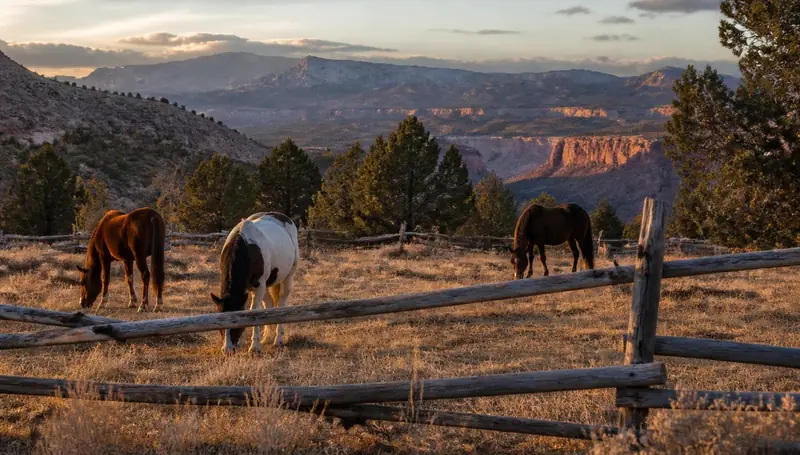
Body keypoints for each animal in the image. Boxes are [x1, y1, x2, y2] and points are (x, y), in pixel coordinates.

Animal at [210, 212, 299, 355]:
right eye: (219, 322)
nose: (228, 350)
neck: (246, 247)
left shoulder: (259, 285)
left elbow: (254, 312)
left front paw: (254, 346)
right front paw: (242, 342)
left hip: (287, 277)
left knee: (281, 303)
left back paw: (277, 340)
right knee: (268, 304)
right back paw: (266, 338)